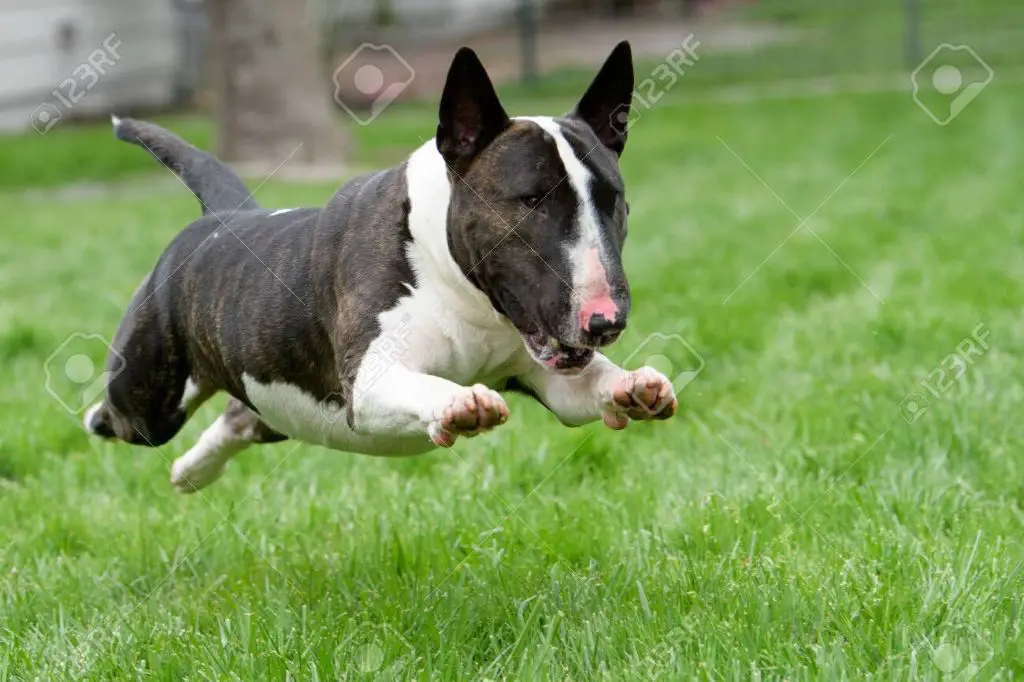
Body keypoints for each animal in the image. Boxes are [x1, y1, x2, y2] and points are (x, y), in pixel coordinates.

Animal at [86, 41, 679, 489]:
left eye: (613, 200)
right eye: (532, 201)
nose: (605, 323)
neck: (456, 283)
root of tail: (223, 215)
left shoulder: (547, 375)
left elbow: (584, 388)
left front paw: (634, 386)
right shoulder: (370, 382)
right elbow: (422, 387)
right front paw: (461, 402)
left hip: (274, 398)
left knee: (243, 416)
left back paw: (191, 473)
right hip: (147, 399)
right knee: (124, 415)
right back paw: (108, 423)